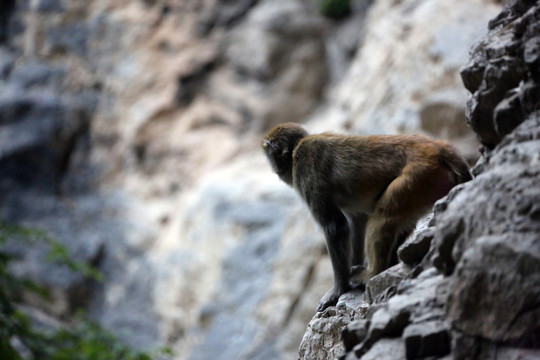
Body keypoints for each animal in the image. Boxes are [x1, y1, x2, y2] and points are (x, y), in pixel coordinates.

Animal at [260, 122, 468, 310]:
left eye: (270, 154)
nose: (273, 169)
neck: (297, 148)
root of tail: (437, 147)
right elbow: (357, 222)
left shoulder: (306, 166)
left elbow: (335, 226)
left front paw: (339, 289)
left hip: (419, 176)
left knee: (384, 215)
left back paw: (372, 273)